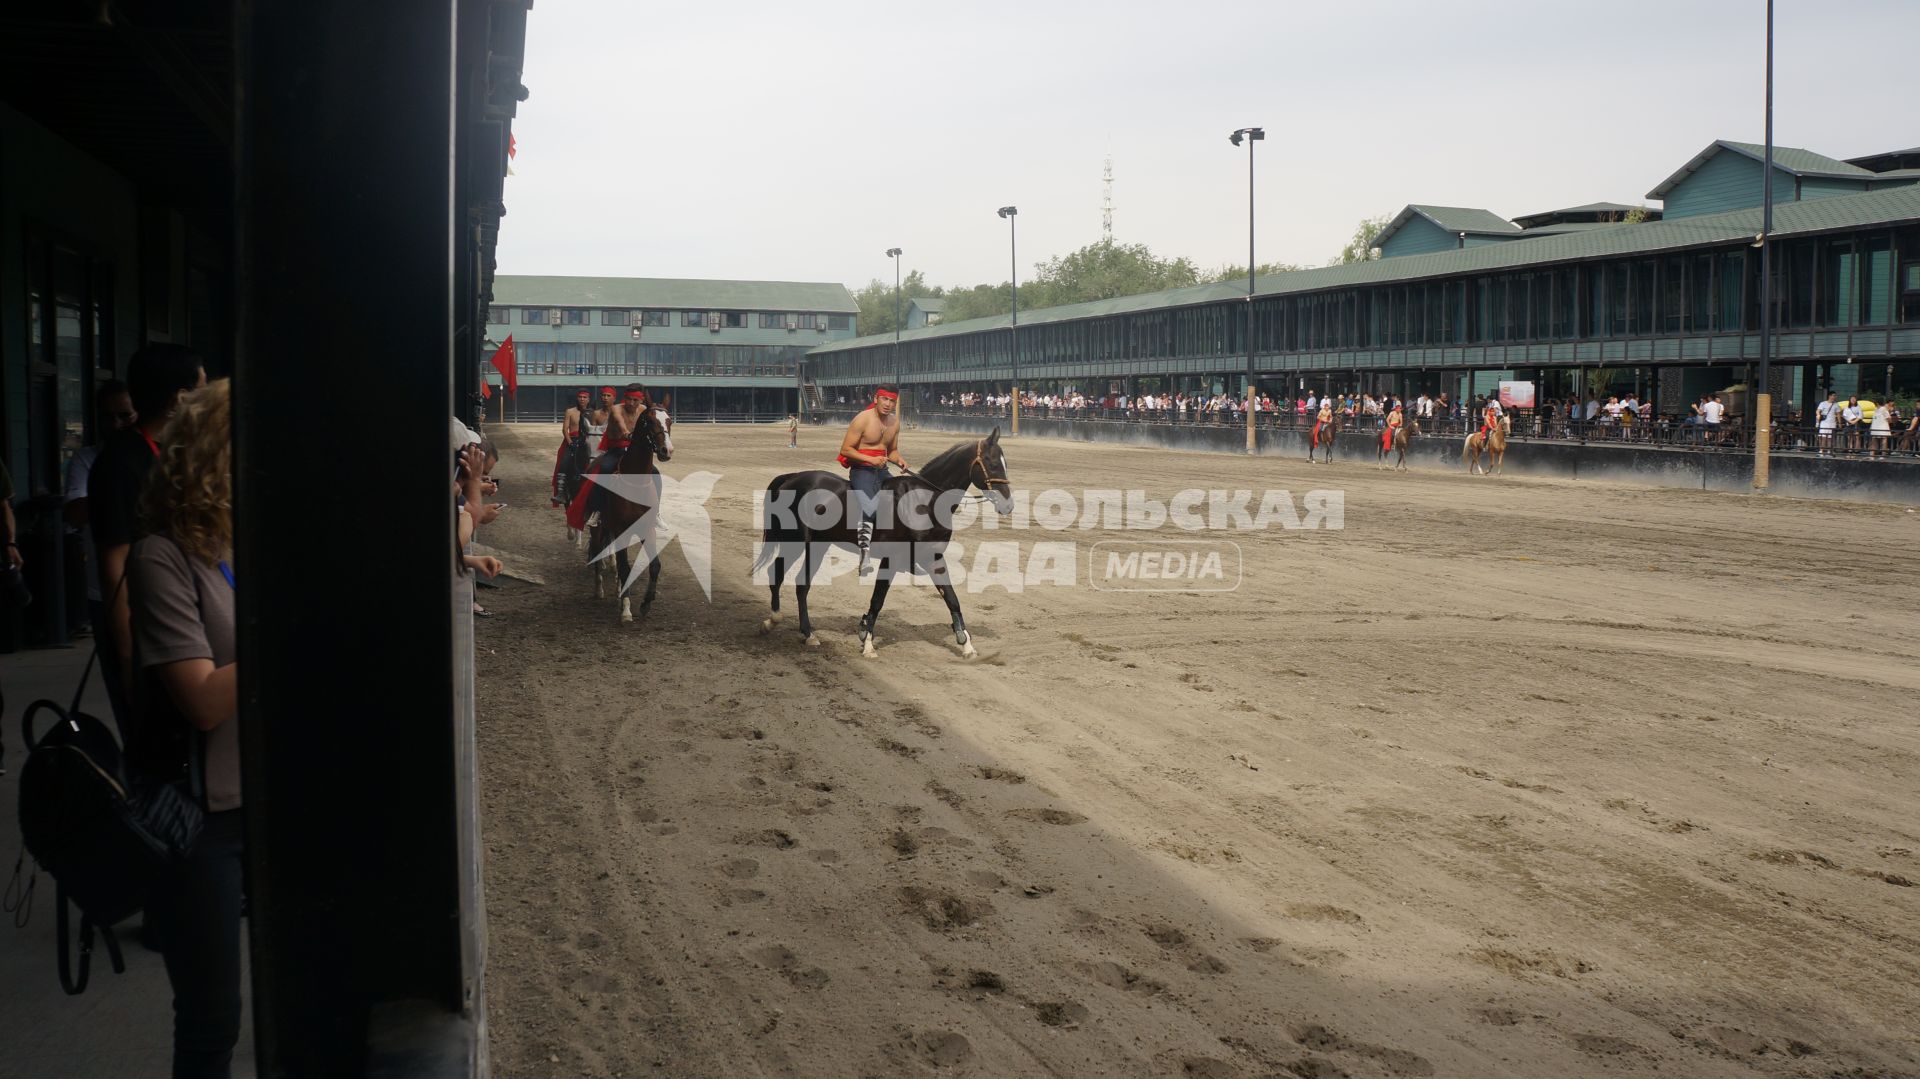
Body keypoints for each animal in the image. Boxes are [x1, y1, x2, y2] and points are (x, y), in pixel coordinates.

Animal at [583, 403, 675, 622]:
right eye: (649, 421)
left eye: (669, 421)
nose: (666, 450)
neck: (636, 484)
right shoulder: (621, 529)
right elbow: (624, 567)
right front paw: (626, 610)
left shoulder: (647, 530)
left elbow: (655, 565)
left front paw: (646, 602)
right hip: (599, 528)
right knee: (597, 549)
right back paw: (599, 589)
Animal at [752, 428, 1021, 656]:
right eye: (993, 463)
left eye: (1006, 464)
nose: (1008, 505)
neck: (924, 501)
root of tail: (793, 478)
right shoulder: (891, 559)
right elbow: (878, 599)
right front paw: (868, 642)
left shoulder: (933, 558)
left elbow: (951, 598)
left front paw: (966, 644)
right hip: (796, 542)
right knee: (779, 576)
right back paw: (773, 621)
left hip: (817, 546)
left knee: (800, 584)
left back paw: (807, 634)